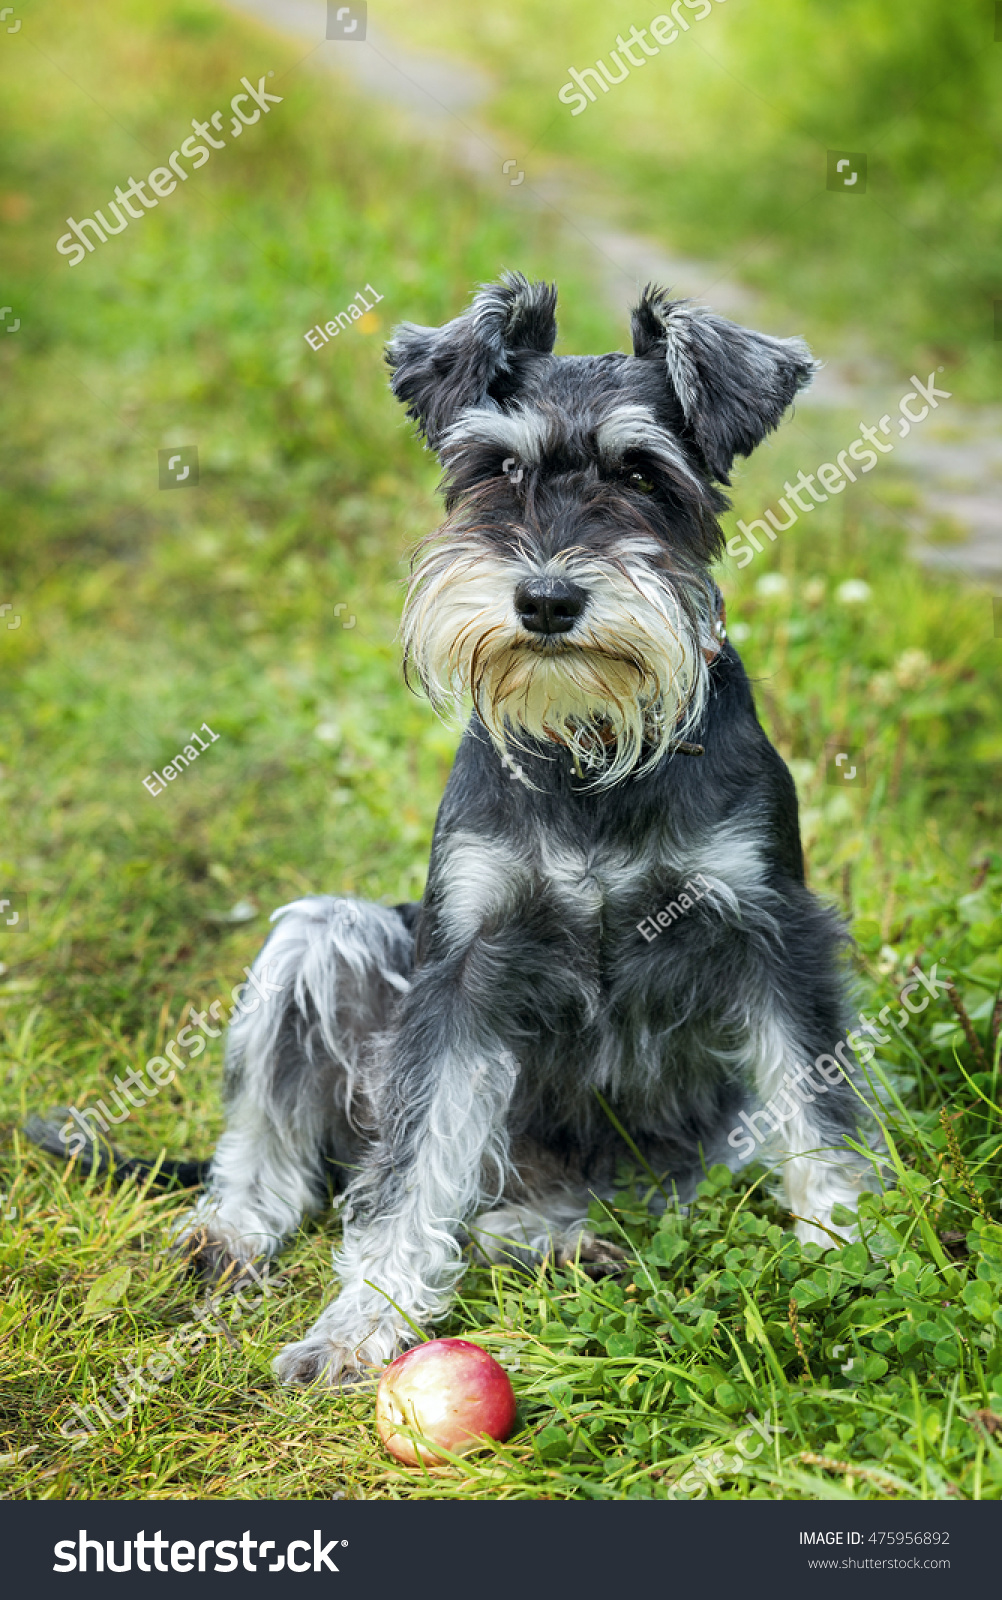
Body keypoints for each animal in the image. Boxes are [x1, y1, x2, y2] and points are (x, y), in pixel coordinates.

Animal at [39, 272, 870, 1376]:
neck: (589, 751)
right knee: (294, 1156)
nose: (548, 598)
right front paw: (358, 1326)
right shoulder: (462, 973)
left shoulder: (774, 933)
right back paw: (228, 1232)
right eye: (497, 467)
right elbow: (410, 1169)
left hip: (686, 1147)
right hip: (319, 938)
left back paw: (563, 1240)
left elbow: (818, 1111)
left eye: (643, 474)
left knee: (576, 1201)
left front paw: (853, 1249)